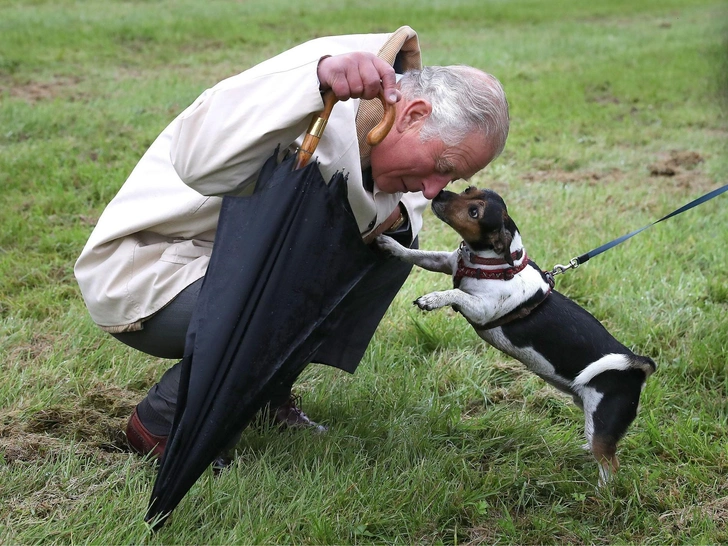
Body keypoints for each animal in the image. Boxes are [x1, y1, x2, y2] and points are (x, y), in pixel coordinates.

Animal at [378, 186, 656, 480]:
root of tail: (639, 365)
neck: (491, 264)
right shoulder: (443, 261)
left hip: (603, 422)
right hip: (588, 411)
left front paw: (432, 299)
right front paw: (391, 245)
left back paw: (602, 490)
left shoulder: (481, 309)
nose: (440, 193)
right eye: (468, 190)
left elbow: (455, 293)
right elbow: (417, 255)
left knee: (610, 464)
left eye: (474, 212)